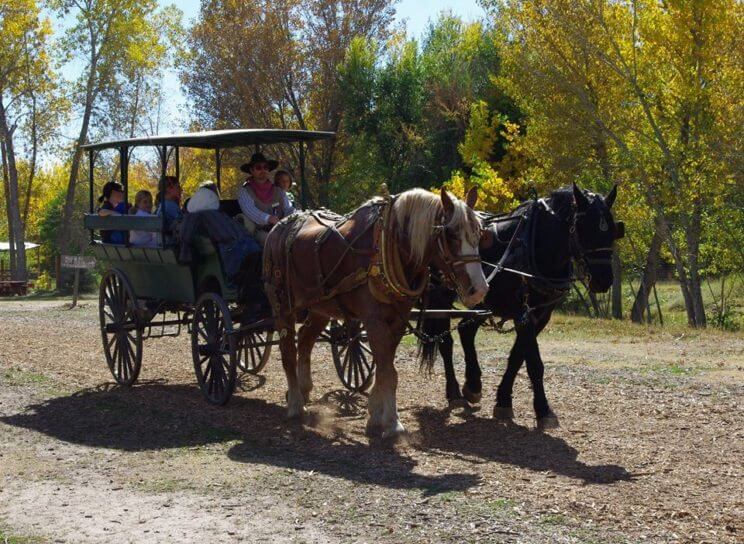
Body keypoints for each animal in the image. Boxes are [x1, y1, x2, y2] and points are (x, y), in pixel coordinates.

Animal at [264, 187, 488, 438]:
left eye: (480, 234)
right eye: (451, 234)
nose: (479, 290)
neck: (387, 246)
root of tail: (278, 227)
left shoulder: (397, 321)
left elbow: (384, 369)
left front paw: (375, 414)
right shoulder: (374, 321)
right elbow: (388, 372)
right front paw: (392, 423)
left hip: (320, 308)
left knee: (304, 341)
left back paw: (304, 390)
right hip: (282, 305)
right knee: (288, 352)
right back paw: (295, 403)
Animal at [422, 184, 624, 430]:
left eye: (612, 229)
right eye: (582, 227)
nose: (603, 279)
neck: (534, 246)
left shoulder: (539, 314)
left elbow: (517, 357)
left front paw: (503, 400)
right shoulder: (522, 312)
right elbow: (534, 362)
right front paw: (543, 409)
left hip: (483, 300)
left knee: (465, 330)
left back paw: (473, 385)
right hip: (442, 297)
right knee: (446, 342)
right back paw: (454, 393)